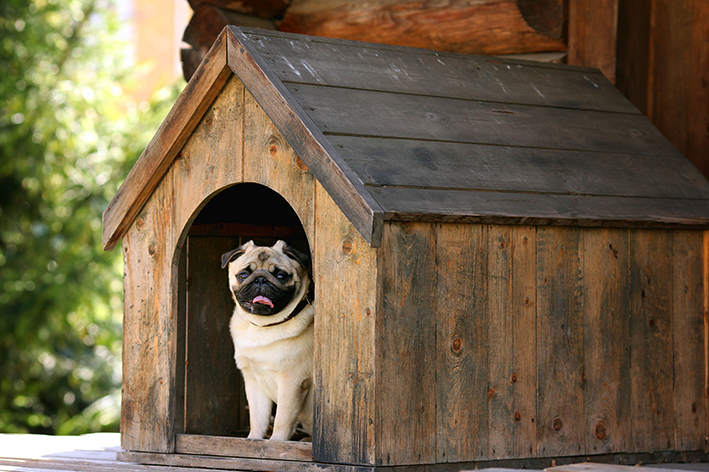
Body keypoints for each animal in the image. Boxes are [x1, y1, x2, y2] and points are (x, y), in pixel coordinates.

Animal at [218, 242, 312, 440]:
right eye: (243, 275)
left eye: (281, 276)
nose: (261, 280)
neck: (263, 326)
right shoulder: (254, 382)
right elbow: (258, 418)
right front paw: (254, 440)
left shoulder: (292, 382)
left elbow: (282, 420)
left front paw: (276, 443)